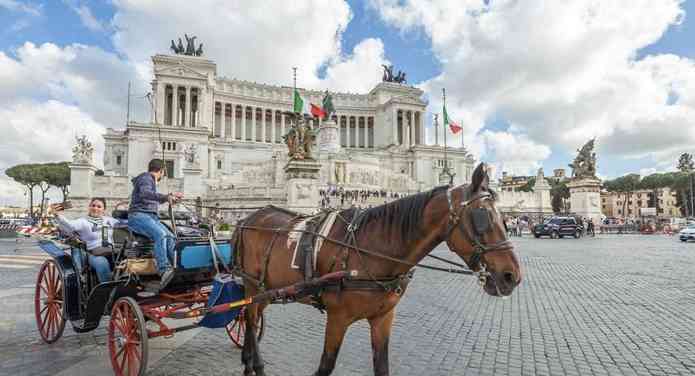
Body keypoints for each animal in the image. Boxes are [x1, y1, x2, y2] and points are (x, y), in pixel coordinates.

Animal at [234, 162, 520, 376]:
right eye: (482, 217)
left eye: (504, 218)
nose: (512, 276)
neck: (370, 248)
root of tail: (250, 216)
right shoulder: (337, 318)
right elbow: (325, 367)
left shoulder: (383, 318)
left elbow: (382, 367)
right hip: (251, 283)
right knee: (250, 318)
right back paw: (256, 365)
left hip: (266, 288)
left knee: (250, 317)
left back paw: (247, 360)